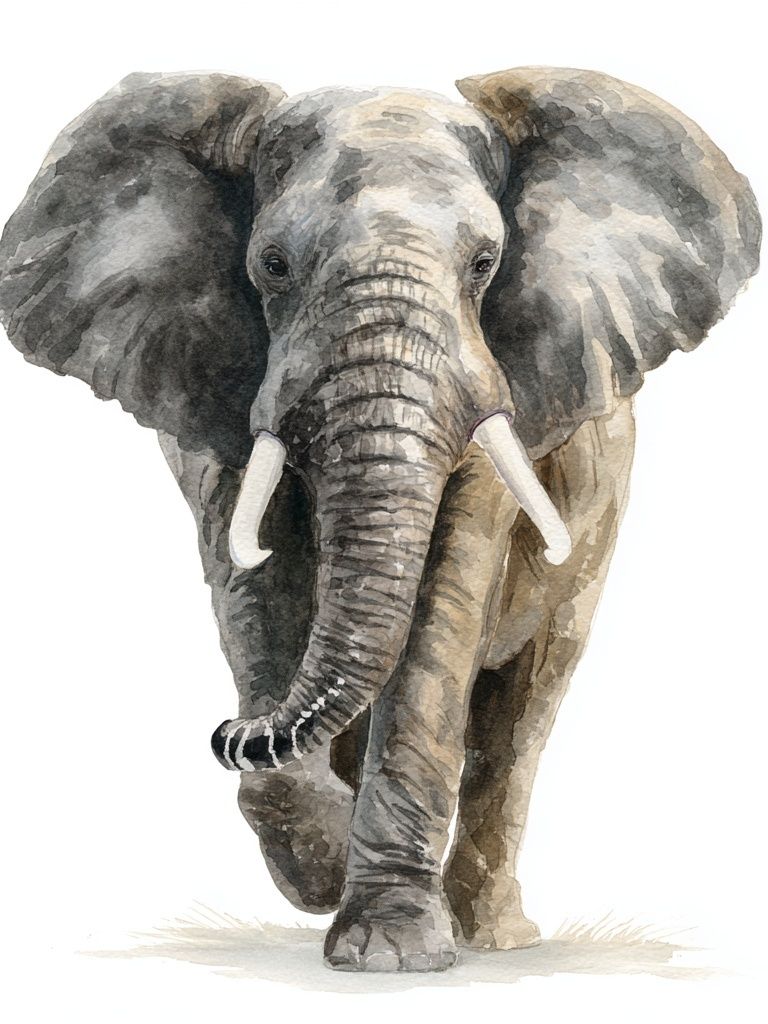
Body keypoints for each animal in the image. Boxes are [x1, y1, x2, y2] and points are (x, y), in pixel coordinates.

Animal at [0, 65, 760, 973]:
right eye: (272, 264)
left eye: (485, 263)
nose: (228, 732)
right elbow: (253, 589)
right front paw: (325, 870)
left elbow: (439, 615)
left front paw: (389, 953)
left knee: (524, 707)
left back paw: (492, 937)